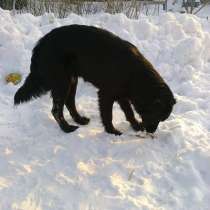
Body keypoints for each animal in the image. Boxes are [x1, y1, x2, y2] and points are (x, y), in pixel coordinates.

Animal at [14, 24, 176, 135]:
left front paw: (135, 125)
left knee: (69, 102)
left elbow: (129, 112)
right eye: (157, 116)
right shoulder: (106, 94)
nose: (151, 131)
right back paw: (67, 128)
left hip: (71, 80)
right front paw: (112, 131)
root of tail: (41, 44)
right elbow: (108, 115)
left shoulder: (121, 95)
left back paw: (79, 119)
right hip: (62, 82)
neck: (136, 75)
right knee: (56, 110)